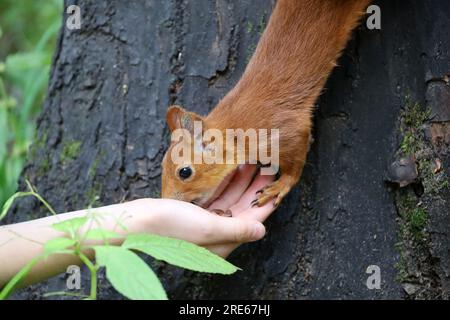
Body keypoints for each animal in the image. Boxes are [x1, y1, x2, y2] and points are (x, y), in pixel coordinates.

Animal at [161, 0, 370, 209]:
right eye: (162, 166)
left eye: (185, 172)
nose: (166, 200)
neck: (237, 129)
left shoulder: (285, 129)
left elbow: (295, 162)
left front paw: (279, 186)